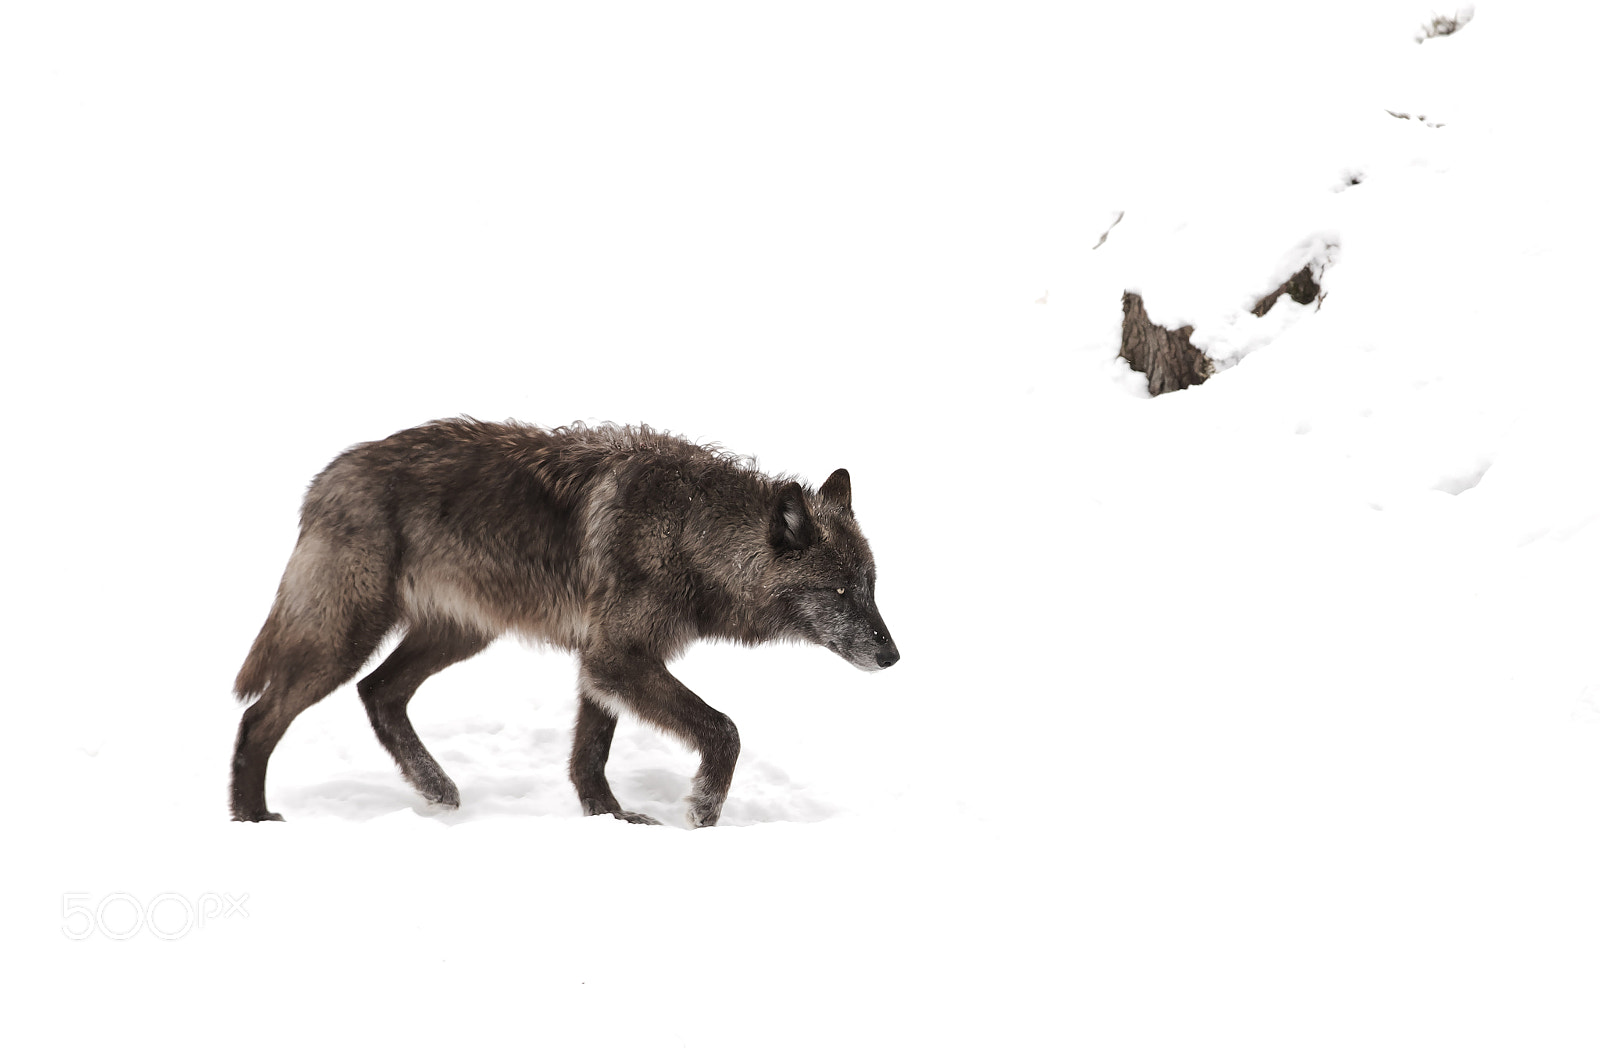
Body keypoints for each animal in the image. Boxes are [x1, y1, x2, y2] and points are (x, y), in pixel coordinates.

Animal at [231, 418, 899, 827]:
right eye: (839, 592)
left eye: (870, 589)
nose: (892, 656)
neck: (689, 531)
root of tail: (329, 473)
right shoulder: (616, 657)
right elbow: (724, 729)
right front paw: (703, 812)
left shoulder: (601, 663)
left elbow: (588, 755)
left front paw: (611, 818)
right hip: (345, 638)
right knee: (260, 716)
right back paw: (252, 819)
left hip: (461, 634)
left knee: (379, 692)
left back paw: (436, 789)